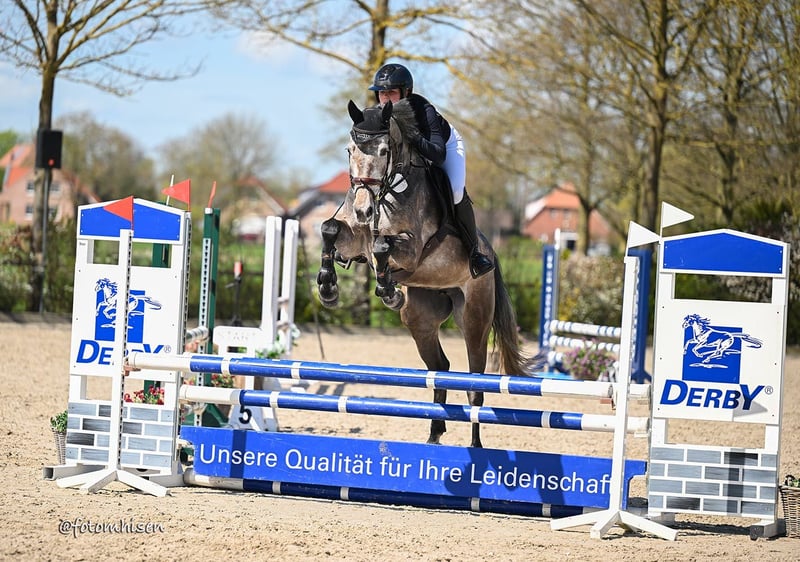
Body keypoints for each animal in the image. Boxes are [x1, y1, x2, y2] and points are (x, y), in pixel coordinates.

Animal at [316, 99, 532, 448]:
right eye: (350, 150)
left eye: (383, 150)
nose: (363, 209)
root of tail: (491, 253)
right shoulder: (354, 237)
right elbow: (330, 228)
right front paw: (328, 287)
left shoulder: (412, 249)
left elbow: (382, 246)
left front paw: (387, 290)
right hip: (420, 318)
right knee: (440, 368)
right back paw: (434, 435)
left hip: (474, 317)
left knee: (475, 386)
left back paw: (474, 446)